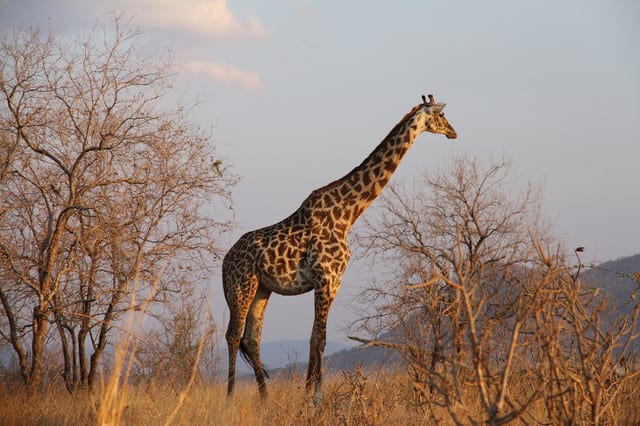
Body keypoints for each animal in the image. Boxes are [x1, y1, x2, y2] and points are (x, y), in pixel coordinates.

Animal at [222, 94, 457, 401]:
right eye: (441, 116)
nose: (454, 132)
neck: (347, 214)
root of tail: (224, 262)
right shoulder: (325, 277)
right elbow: (319, 338)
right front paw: (316, 398)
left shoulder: (334, 281)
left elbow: (315, 337)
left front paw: (308, 395)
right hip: (240, 287)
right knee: (232, 335)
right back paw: (229, 398)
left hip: (262, 289)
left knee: (251, 338)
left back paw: (264, 398)